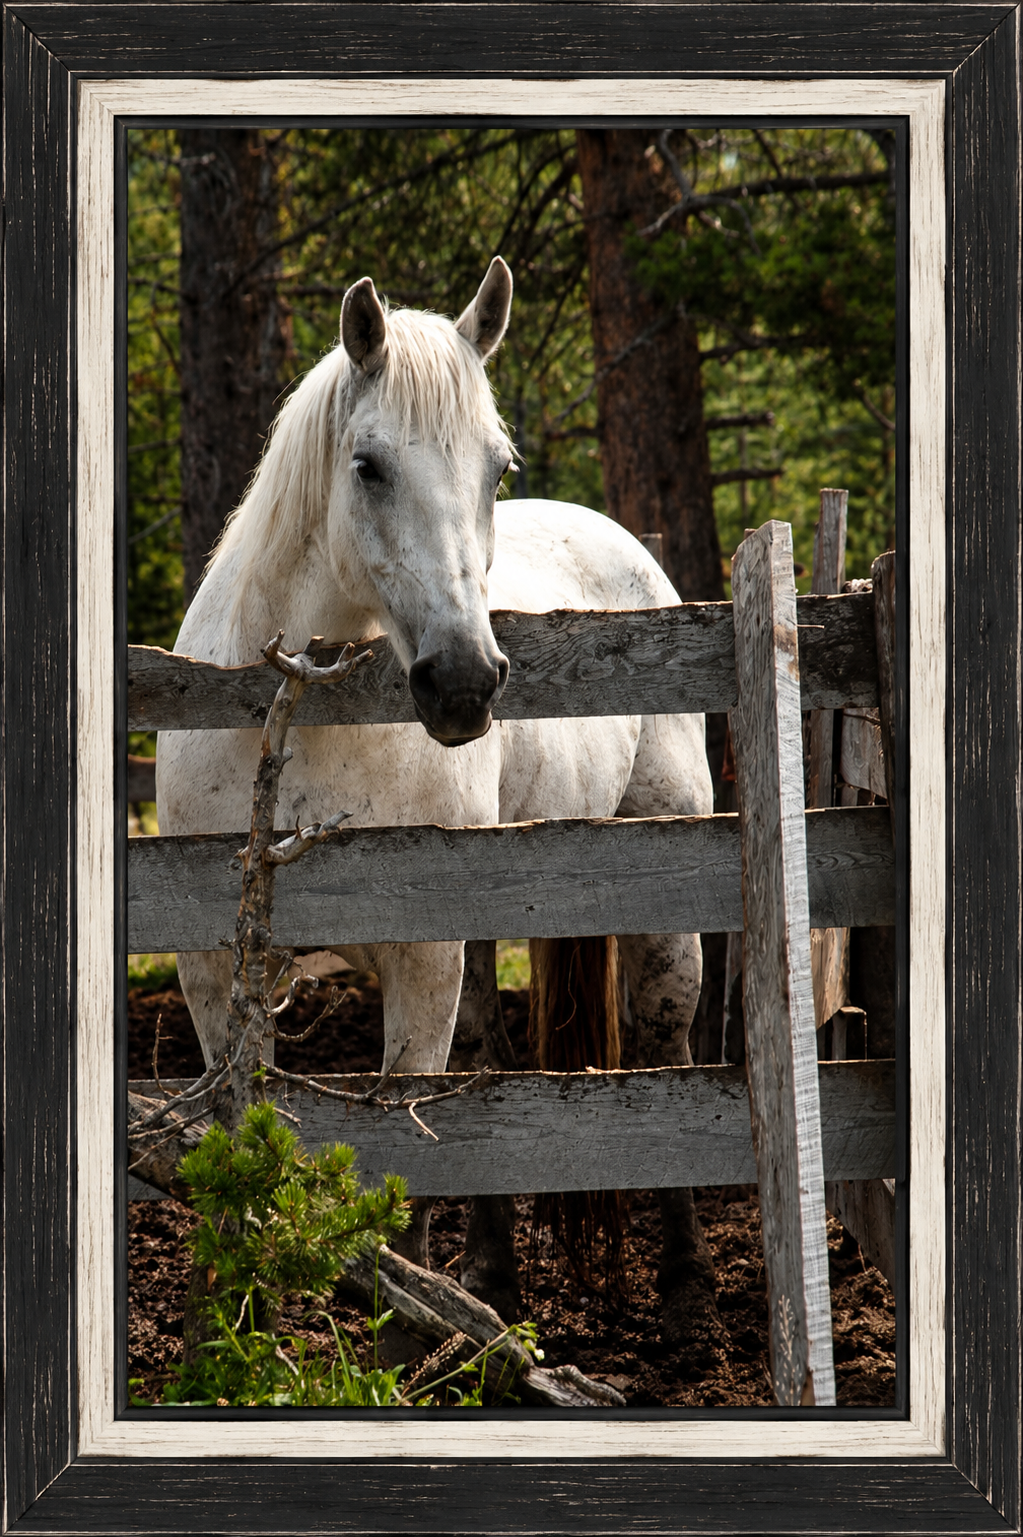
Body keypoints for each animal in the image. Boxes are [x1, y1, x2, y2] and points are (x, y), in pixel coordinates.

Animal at [156, 258, 721, 1349]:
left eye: (497, 469)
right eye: (369, 465)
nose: (463, 682)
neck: (291, 716)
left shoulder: (419, 958)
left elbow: (405, 1151)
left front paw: (399, 1330)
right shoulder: (215, 966)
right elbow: (242, 1139)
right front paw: (241, 1329)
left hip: (656, 895)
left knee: (666, 1049)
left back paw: (680, 1287)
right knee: (483, 1068)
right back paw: (491, 1280)